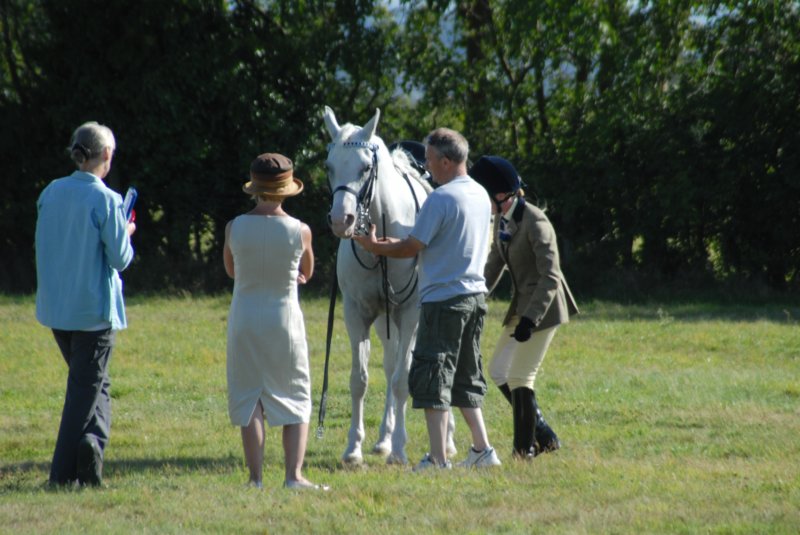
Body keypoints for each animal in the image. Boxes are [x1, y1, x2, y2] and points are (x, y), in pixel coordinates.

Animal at [322, 105, 454, 464]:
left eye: (366, 167)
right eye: (328, 166)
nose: (341, 220)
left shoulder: (410, 315)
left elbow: (401, 381)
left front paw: (399, 450)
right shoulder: (357, 314)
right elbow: (360, 379)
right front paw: (354, 448)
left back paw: (446, 439)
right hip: (385, 320)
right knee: (391, 362)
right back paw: (383, 437)